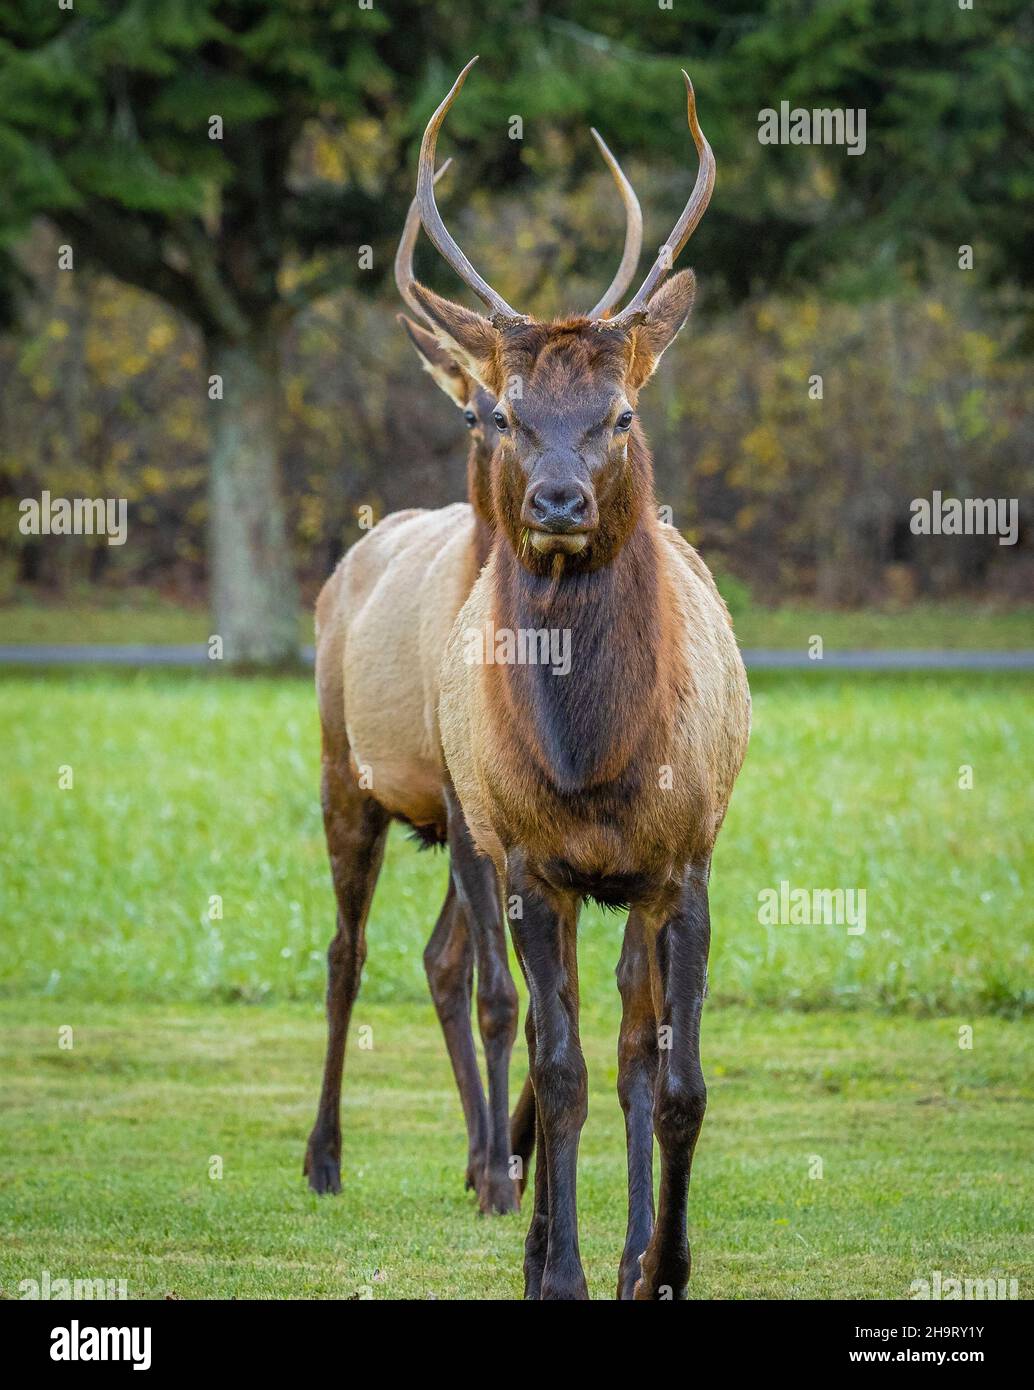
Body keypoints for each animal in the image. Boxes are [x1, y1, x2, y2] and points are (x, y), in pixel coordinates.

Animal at [303, 131, 643, 1215]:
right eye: (478, 415)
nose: (552, 497)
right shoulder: (461, 796)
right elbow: (504, 993)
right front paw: (503, 1172)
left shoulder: (501, 813)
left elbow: (520, 991)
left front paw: (508, 1156)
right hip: (348, 773)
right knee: (349, 952)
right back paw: (326, 1155)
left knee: (437, 957)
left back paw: (471, 1148)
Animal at [408, 58, 751, 1297]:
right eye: (508, 412)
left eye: (620, 410)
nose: (557, 501)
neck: (594, 755)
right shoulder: (532, 864)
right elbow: (556, 1073)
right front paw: (550, 1265)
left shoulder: (683, 861)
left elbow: (675, 1077)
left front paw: (661, 1264)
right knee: (551, 1044)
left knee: (633, 1050)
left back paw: (629, 1245)